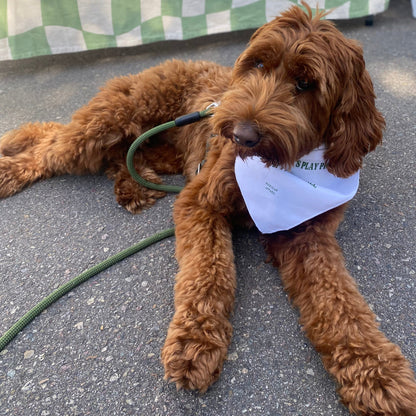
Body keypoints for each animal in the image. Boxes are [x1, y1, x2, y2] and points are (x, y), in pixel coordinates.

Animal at [0, 4, 416, 416]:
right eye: (258, 64)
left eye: (305, 84)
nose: (241, 134)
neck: (280, 168)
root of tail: (176, 62)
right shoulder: (200, 201)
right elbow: (208, 272)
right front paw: (196, 340)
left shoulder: (308, 235)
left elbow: (339, 303)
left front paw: (376, 372)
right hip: (110, 121)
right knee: (52, 141)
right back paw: (11, 165)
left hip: (161, 147)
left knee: (117, 155)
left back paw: (134, 183)